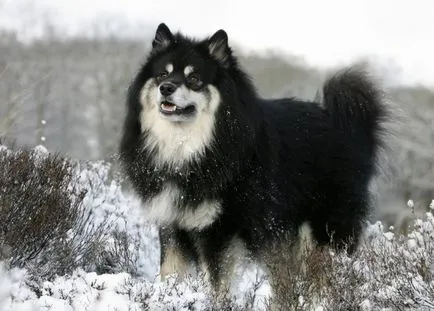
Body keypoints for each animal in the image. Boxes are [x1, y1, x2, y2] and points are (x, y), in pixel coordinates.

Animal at [118, 23, 386, 292]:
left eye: (193, 79)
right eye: (162, 75)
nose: (166, 88)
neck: (188, 151)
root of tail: (350, 129)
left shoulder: (218, 230)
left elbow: (215, 286)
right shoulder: (171, 224)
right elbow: (169, 275)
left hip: (323, 233)